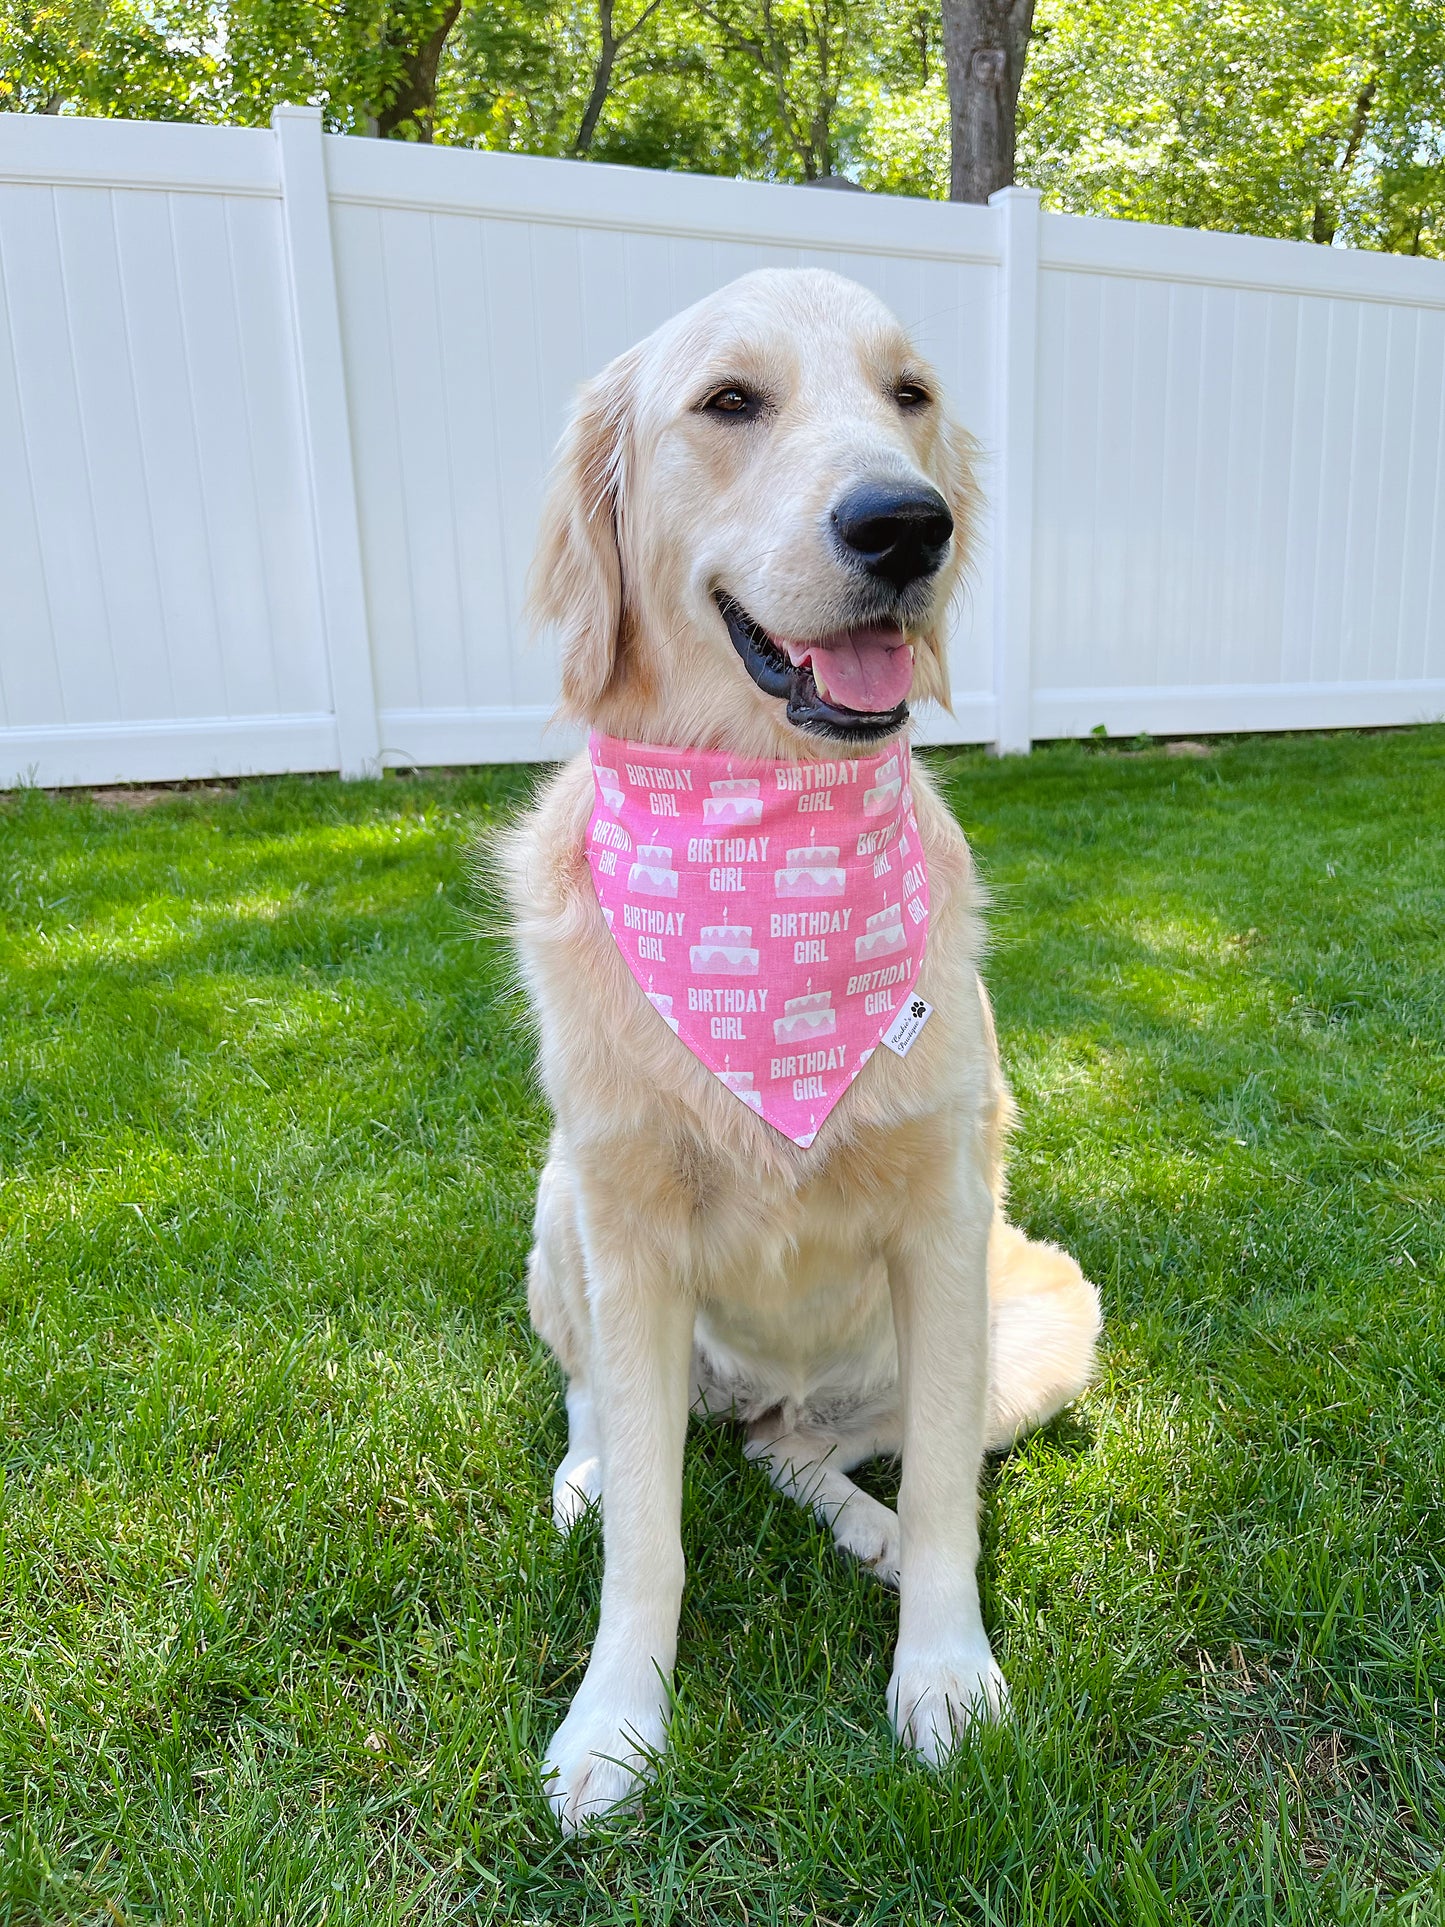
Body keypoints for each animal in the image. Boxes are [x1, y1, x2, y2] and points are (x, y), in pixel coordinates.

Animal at [504, 263, 1102, 1826]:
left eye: (911, 394)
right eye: (729, 401)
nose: (906, 523)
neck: (763, 828)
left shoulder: (945, 1223)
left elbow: (949, 1488)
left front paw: (943, 1674)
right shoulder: (627, 1226)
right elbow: (647, 1540)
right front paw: (615, 1722)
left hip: (1043, 1313)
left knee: (803, 1446)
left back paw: (862, 1521)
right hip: (558, 1205)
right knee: (602, 1406)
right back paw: (588, 1472)